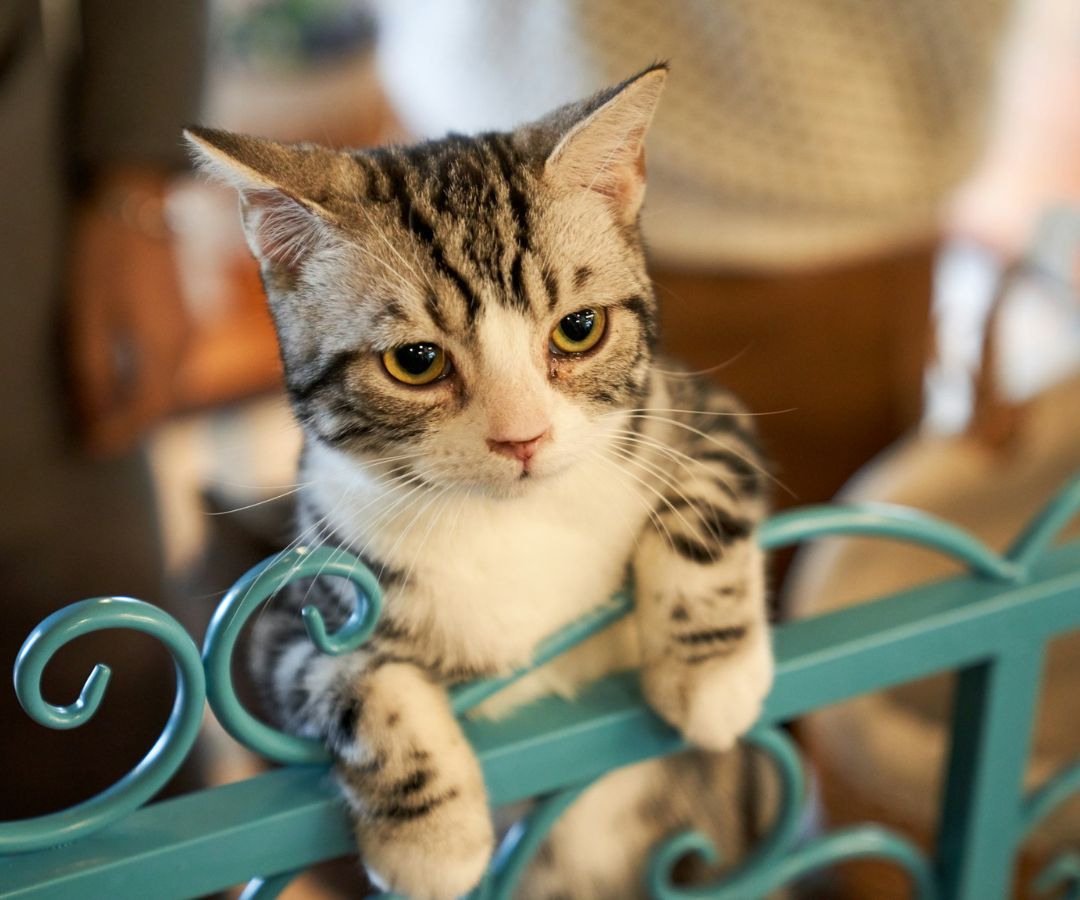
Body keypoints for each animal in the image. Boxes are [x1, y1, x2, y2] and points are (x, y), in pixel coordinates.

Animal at [185, 64, 777, 898]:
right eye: (416, 361)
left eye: (579, 328)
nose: (522, 437)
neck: (511, 523)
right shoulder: (290, 616)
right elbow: (348, 680)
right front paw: (432, 843)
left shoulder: (701, 411)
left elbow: (706, 505)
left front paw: (711, 676)